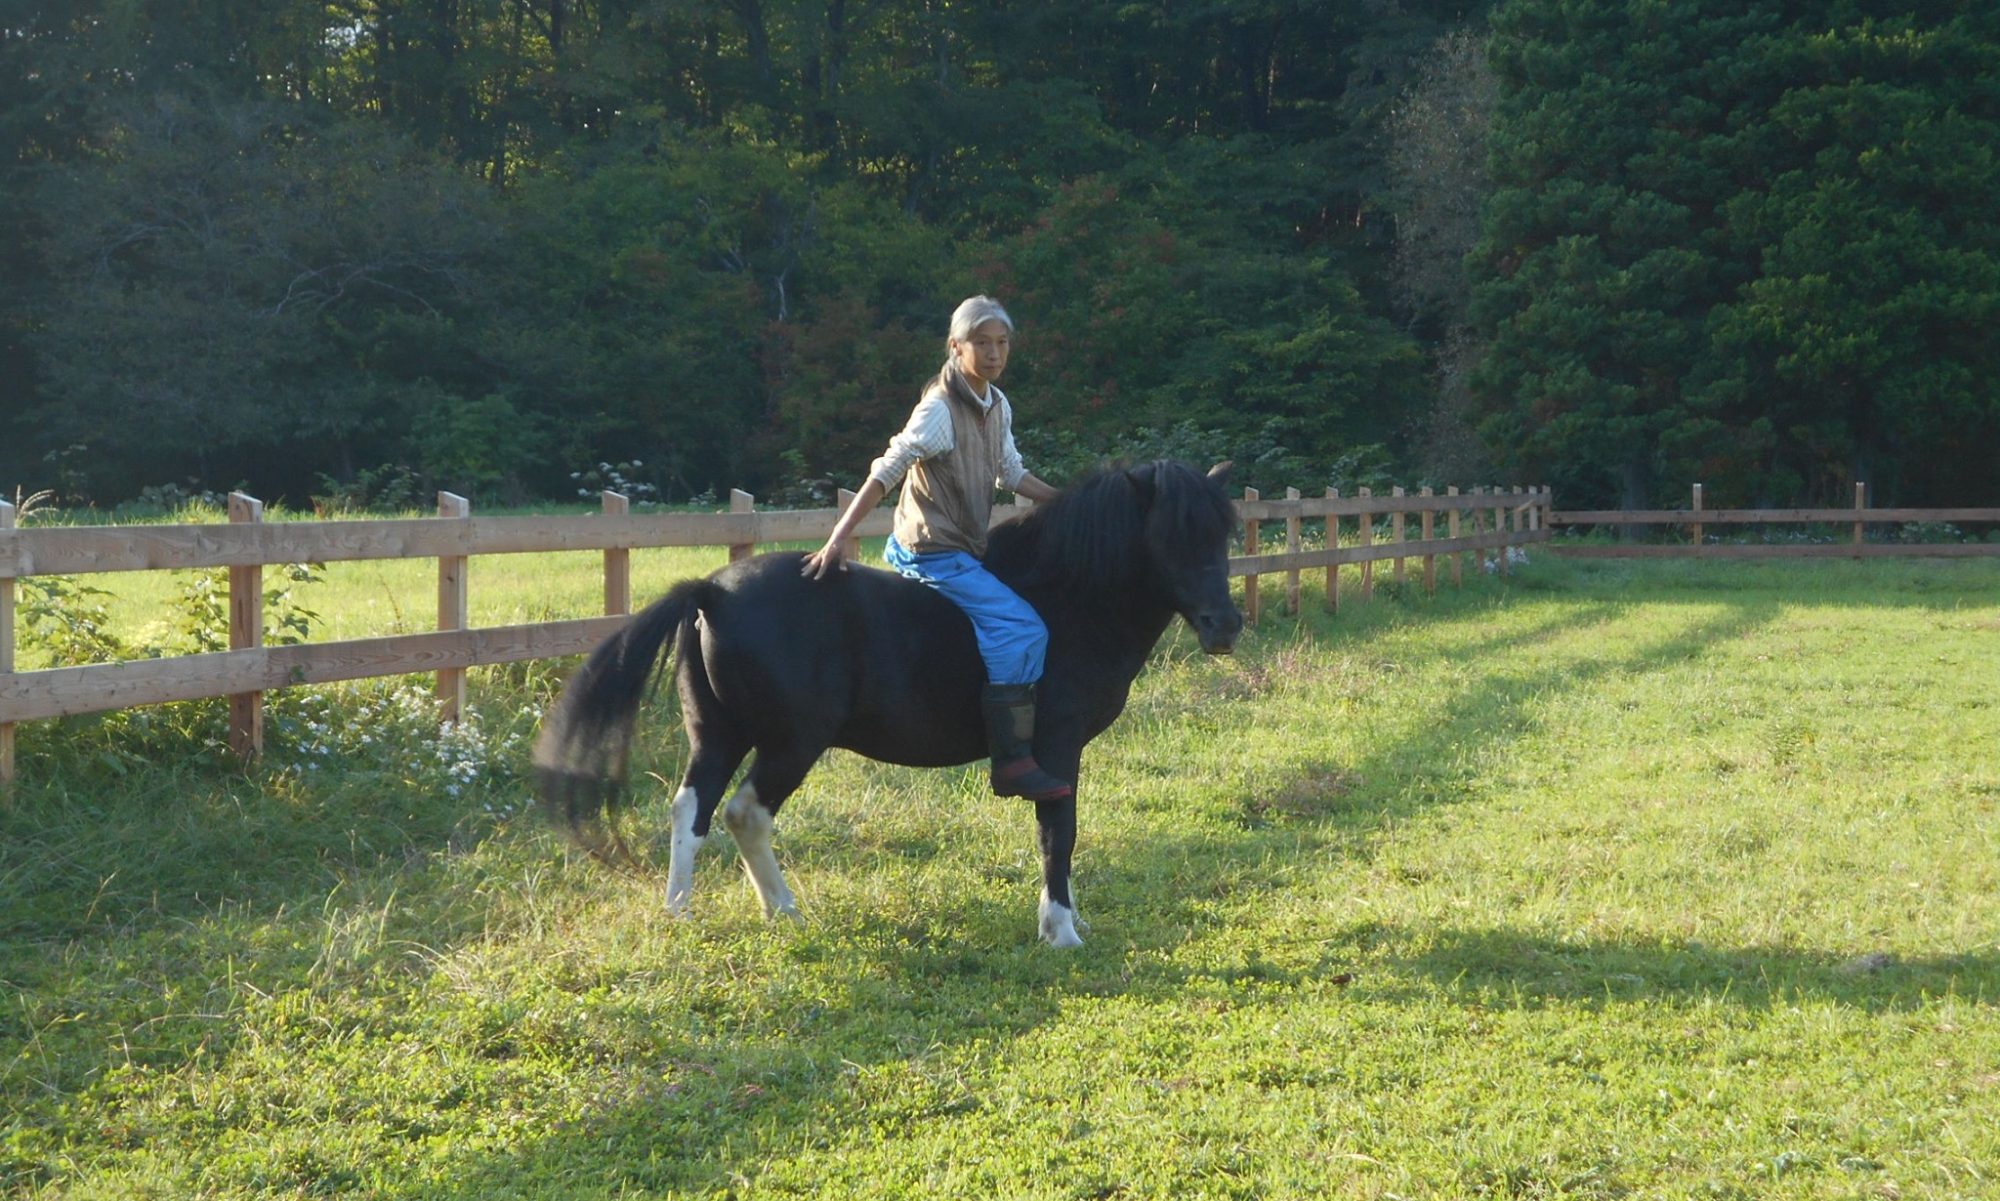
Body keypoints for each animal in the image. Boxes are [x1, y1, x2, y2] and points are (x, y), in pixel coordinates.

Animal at [540, 460, 1240, 948]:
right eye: (1168, 536)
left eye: (1221, 536)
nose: (1225, 625)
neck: (1067, 597)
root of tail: (711, 591)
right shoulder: (1056, 748)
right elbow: (1057, 832)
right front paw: (1061, 929)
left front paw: (1069, 920)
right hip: (791, 743)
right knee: (746, 813)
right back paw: (784, 909)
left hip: (718, 736)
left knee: (694, 811)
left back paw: (688, 910)